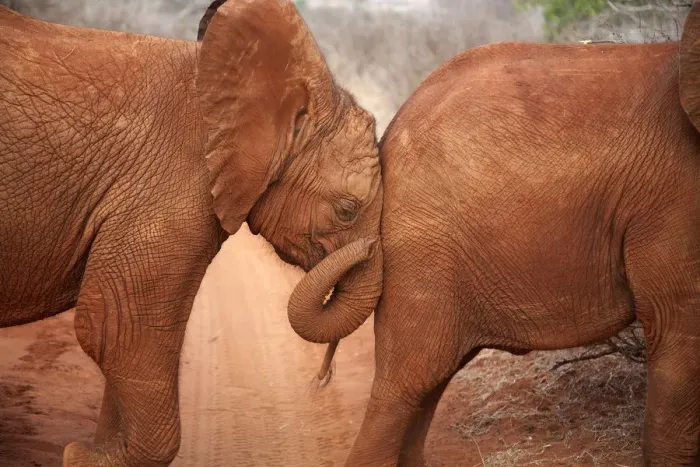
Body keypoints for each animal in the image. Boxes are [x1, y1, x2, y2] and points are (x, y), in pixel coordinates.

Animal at [0, 0, 383, 465]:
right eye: (348, 211)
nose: (321, 381)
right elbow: (122, 328)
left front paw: (92, 453)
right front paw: (82, 457)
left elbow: (121, 328)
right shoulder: (171, 186)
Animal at [342, 4, 700, 467]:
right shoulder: (675, 199)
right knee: (405, 384)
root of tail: (388, 133)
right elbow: (679, 331)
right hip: (422, 252)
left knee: (425, 388)